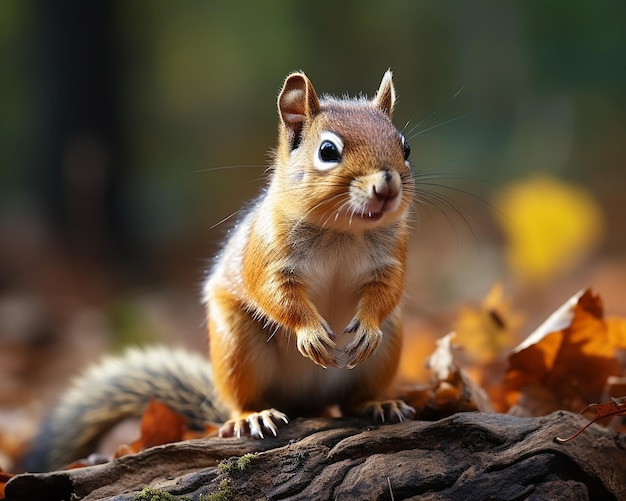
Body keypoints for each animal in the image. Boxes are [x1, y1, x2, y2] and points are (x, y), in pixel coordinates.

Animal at [23, 71, 414, 472]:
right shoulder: (266, 254)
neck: (343, 231)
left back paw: (377, 403)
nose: (387, 185)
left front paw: (366, 326)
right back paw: (252, 416)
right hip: (236, 346)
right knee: (242, 401)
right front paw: (310, 332)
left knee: (352, 400)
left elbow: (388, 290)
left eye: (405, 147)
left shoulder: (392, 258)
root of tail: (306, 404)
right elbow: (274, 293)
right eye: (328, 151)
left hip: (387, 346)